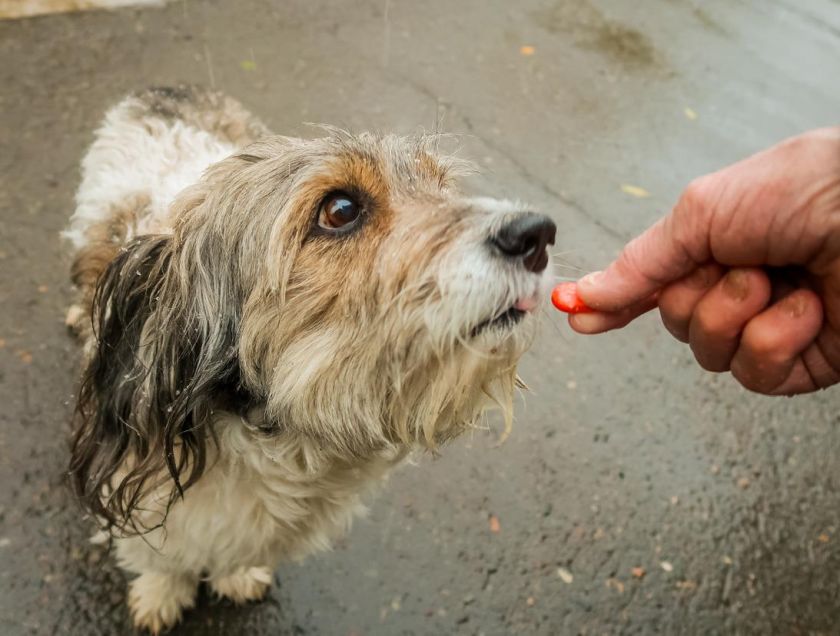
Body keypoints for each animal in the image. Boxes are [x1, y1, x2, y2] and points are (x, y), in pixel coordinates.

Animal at [64, 85, 552, 632]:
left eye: (443, 187)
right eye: (340, 209)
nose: (537, 233)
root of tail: (169, 90)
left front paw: (236, 575)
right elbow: (163, 558)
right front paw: (161, 594)